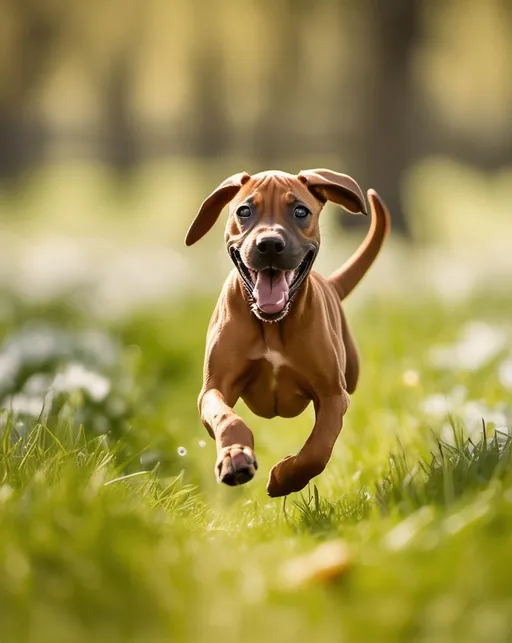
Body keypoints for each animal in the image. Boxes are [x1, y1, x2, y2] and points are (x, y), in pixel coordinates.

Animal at [186, 169, 390, 496]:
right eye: (244, 211)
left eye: (300, 211)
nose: (269, 244)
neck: (272, 324)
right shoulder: (213, 388)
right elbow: (226, 418)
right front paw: (235, 457)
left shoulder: (333, 394)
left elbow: (319, 447)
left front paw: (285, 477)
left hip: (353, 371)